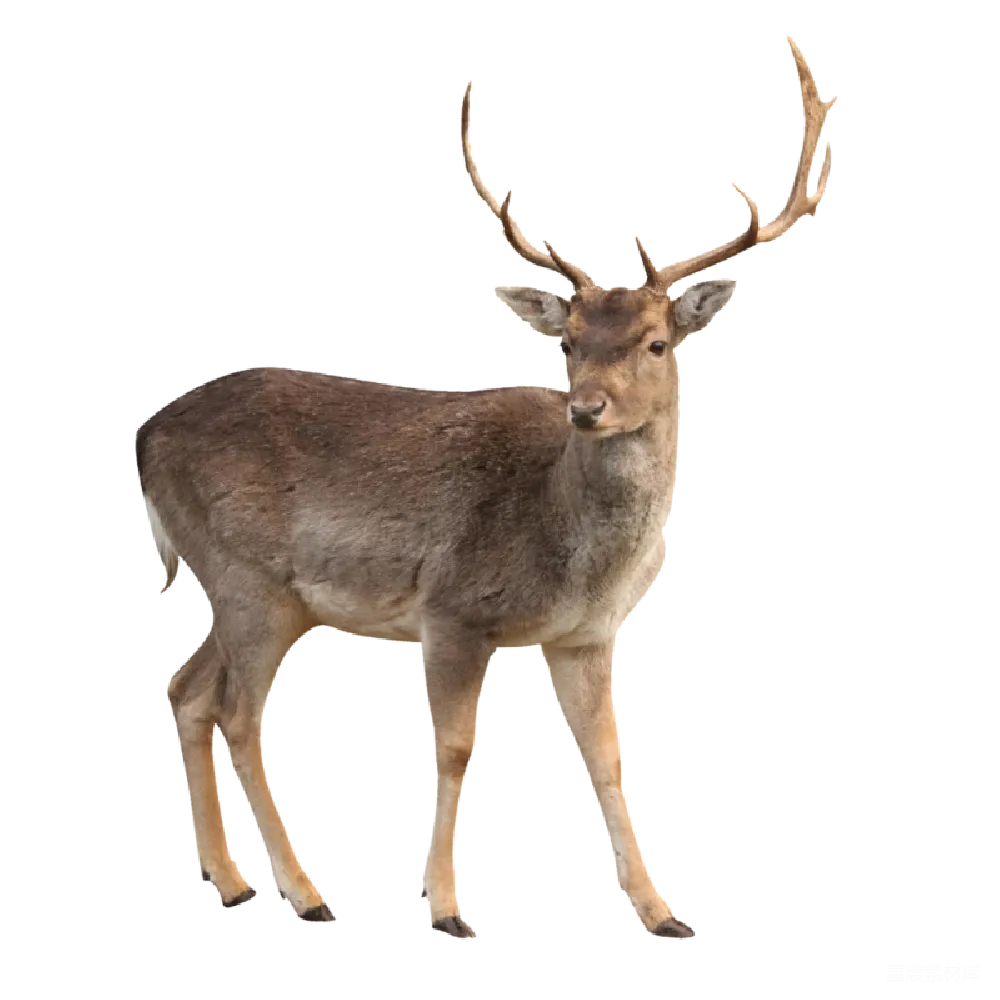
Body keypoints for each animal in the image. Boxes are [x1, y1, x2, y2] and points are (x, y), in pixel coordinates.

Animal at [137, 33, 835, 938]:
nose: (586, 407)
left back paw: (233, 883)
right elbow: (455, 748)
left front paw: (662, 912)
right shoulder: (455, 611)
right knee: (236, 712)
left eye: (655, 342)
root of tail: (144, 436)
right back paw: (307, 894)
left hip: (256, 595)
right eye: (567, 341)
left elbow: (608, 757)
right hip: (247, 579)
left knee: (187, 690)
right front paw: (445, 909)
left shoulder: (586, 634)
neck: (572, 553)